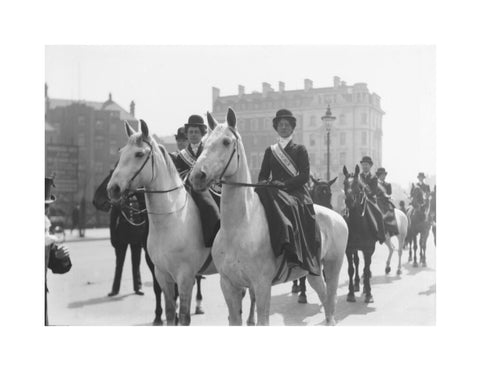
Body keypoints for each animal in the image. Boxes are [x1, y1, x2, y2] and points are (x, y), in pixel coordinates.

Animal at [107, 120, 219, 326]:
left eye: (139, 154)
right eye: (121, 152)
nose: (113, 189)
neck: (170, 220)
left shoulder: (185, 277)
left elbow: (183, 317)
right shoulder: (162, 273)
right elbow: (169, 312)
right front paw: (160, 316)